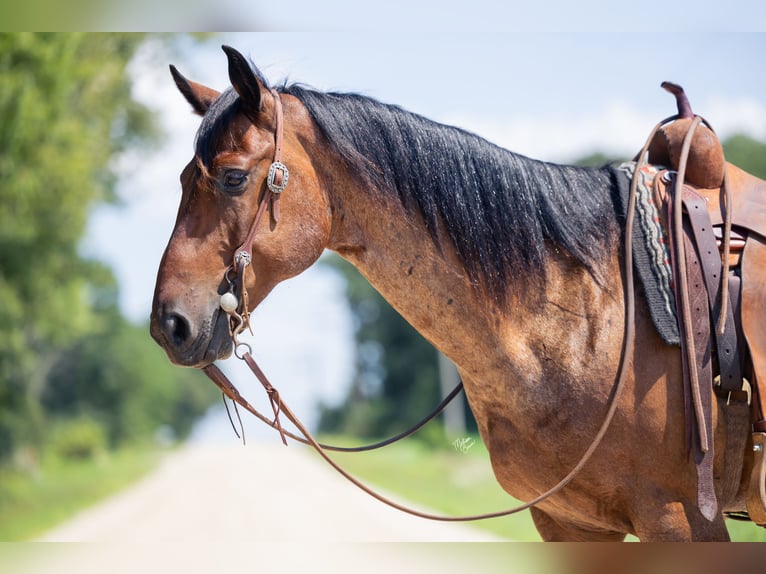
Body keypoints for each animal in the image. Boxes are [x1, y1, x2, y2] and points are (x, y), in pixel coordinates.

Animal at [150, 45, 756, 541]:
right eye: (180, 180)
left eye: (232, 177)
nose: (168, 325)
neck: (594, 316)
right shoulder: (568, 521)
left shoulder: (678, 517)